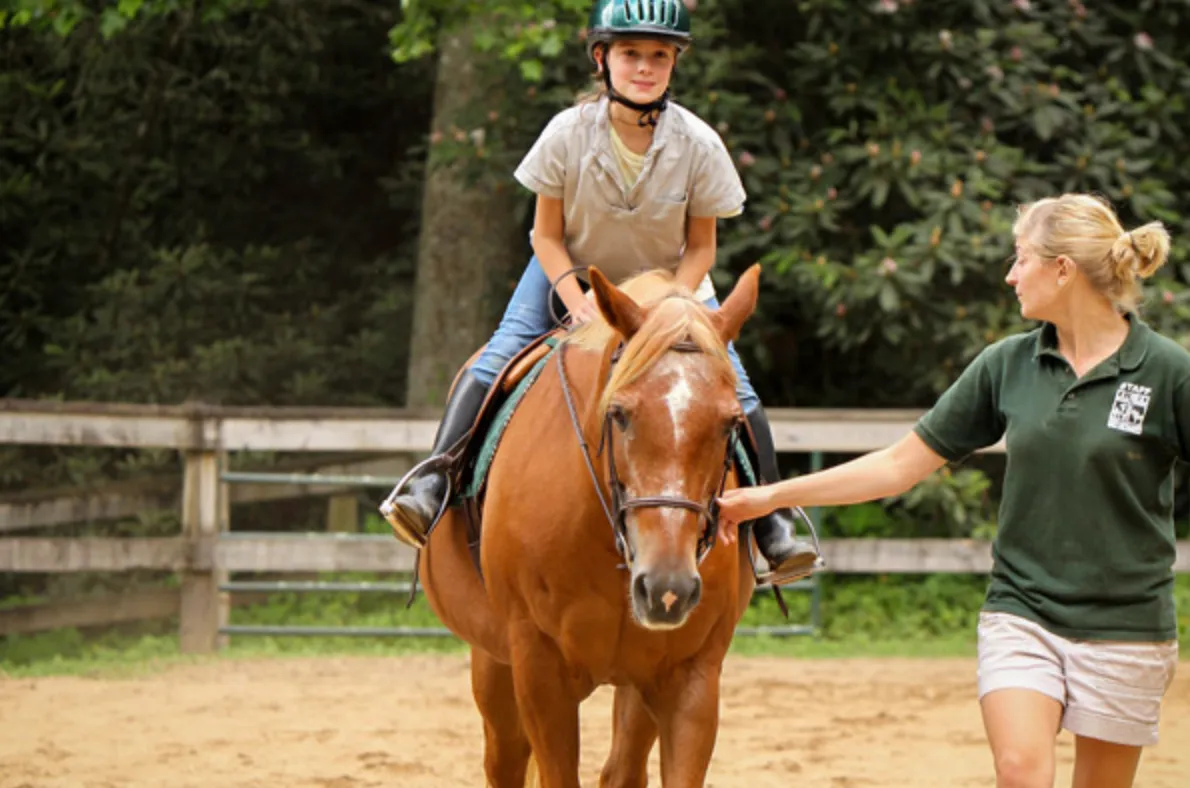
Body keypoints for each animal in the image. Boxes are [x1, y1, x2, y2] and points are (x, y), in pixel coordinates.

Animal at [418, 265, 761, 788]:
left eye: (731, 423)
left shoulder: (690, 677)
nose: (667, 588)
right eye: (618, 414)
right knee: (505, 759)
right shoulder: (539, 671)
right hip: (494, 665)